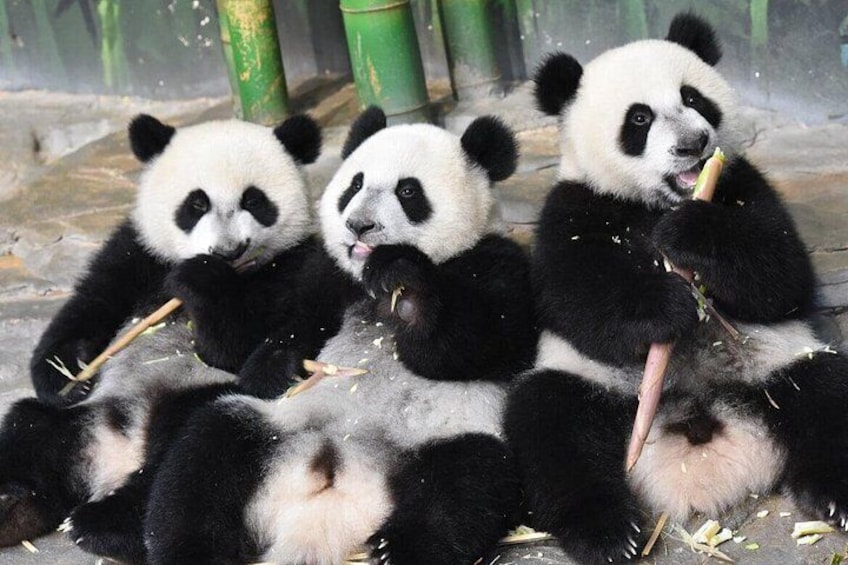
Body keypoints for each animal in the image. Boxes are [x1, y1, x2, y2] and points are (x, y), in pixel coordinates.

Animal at [0, 113, 325, 563]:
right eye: (196, 204)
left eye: (254, 201)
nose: (228, 250)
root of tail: (116, 454)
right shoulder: (137, 252)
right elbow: (91, 305)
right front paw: (66, 374)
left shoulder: (290, 267)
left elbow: (240, 345)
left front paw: (201, 280)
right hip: (79, 420)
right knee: (30, 429)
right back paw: (13, 506)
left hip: (190, 402)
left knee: (181, 455)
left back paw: (105, 525)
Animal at [142, 106, 538, 565]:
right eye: (354, 185)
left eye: (408, 191)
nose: (358, 226)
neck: (365, 283)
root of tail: (331, 497)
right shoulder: (324, 275)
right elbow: (248, 344)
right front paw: (210, 289)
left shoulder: (497, 265)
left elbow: (469, 345)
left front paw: (404, 286)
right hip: (272, 429)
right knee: (203, 459)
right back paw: (193, 549)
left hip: (448, 437)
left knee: (464, 488)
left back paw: (395, 547)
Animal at [503, 12, 848, 564]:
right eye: (639, 119)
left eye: (693, 98)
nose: (694, 144)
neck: (654, 205)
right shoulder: (573, 208)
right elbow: (573, 297)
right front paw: (667, 306)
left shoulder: (742, 181)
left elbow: (783, 273)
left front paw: (691, 234)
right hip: (592, 386)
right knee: (550, 424)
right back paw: (607, 532)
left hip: (777, 361)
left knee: (826, 392)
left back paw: (836, 493)